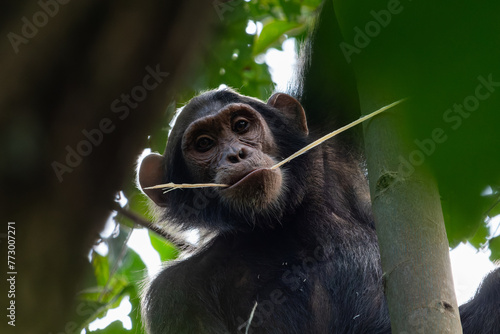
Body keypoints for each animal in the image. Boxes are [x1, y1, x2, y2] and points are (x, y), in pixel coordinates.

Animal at [138, 87, 500, 332]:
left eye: (240, 125)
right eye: (204, 144)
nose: (235, 154)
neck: (277, 223)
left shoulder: (327, 139)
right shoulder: (174, 296)